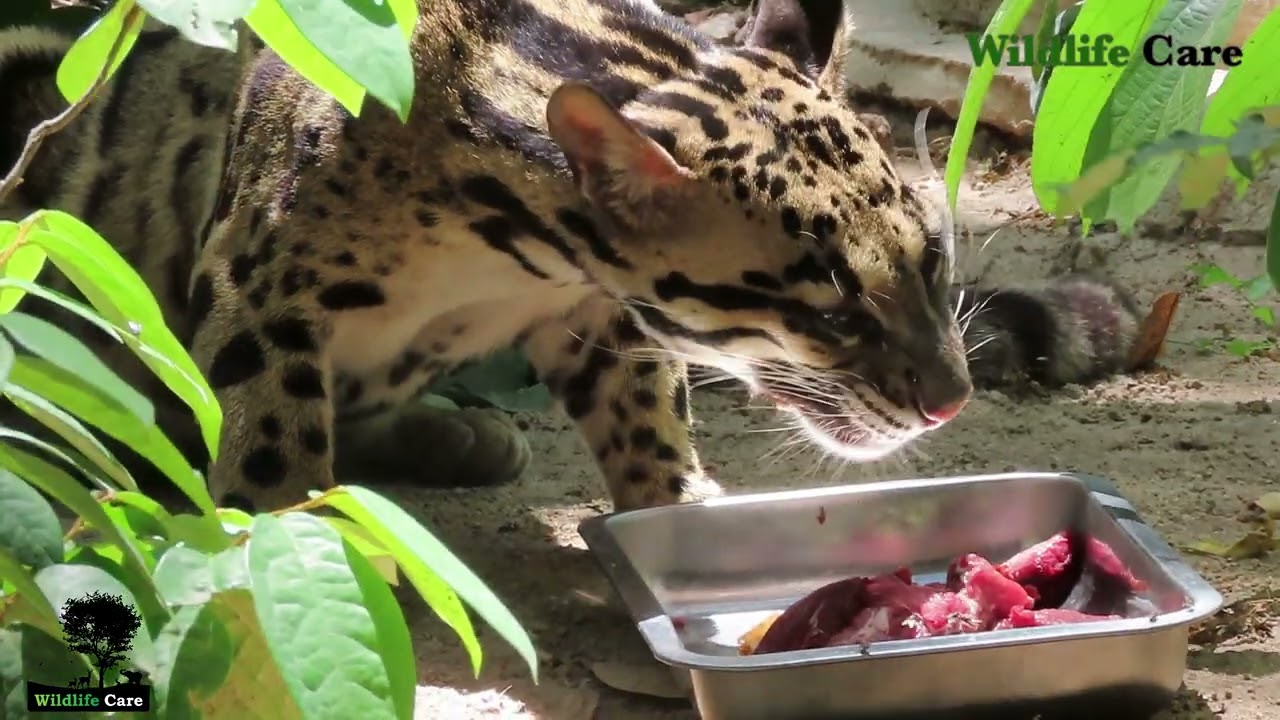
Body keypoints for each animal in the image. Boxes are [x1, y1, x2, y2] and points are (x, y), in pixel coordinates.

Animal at [0, 0, 1142, 516]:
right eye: (826, 313)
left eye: (932, 263)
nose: (949, 403)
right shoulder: (260, 287)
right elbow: (273, 448)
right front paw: (287, 547)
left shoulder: (600, 310)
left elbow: (647, 405)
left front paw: (677, 506)